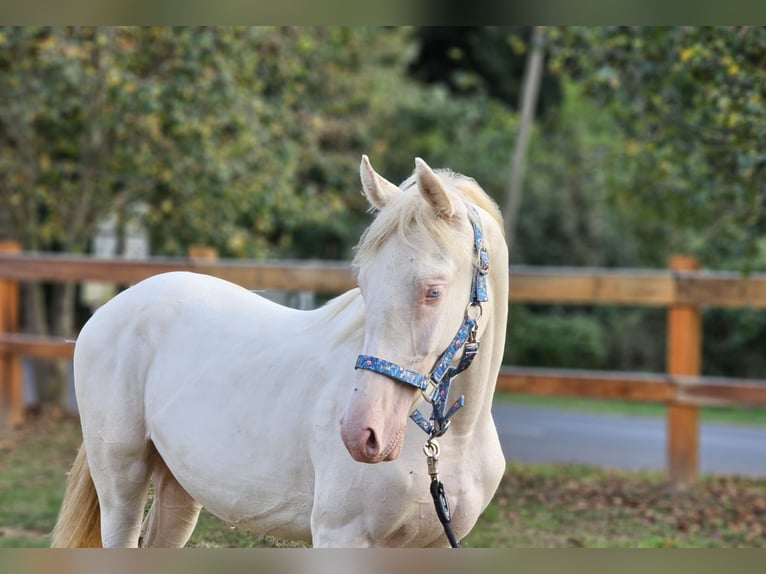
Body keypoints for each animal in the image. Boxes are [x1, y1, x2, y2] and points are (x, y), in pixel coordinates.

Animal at [52, 155, 510, 552]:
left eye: (433, 291)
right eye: (364, 284)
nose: (361, 434)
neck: (451, 442)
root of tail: (109, 309)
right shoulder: (340, 536)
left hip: (176, 488)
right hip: (121, 484)